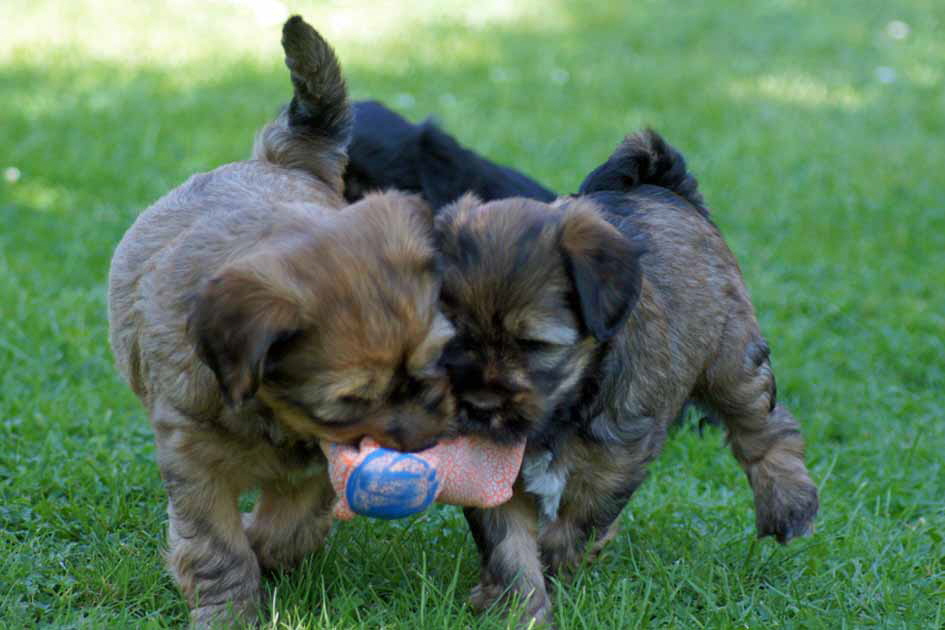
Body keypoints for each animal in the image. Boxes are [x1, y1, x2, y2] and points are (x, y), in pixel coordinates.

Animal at [436, 131, 820, 624]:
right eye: (453, 338)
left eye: (535, 346)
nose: (480, 407)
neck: (567, 405)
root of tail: (662, 185)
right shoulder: (492, 471)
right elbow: (509, 546)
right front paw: (518, 608)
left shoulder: (616, 461)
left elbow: (575, 521)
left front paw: (553, 564)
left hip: (730, 357)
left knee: (766, 427)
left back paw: (788, 505)